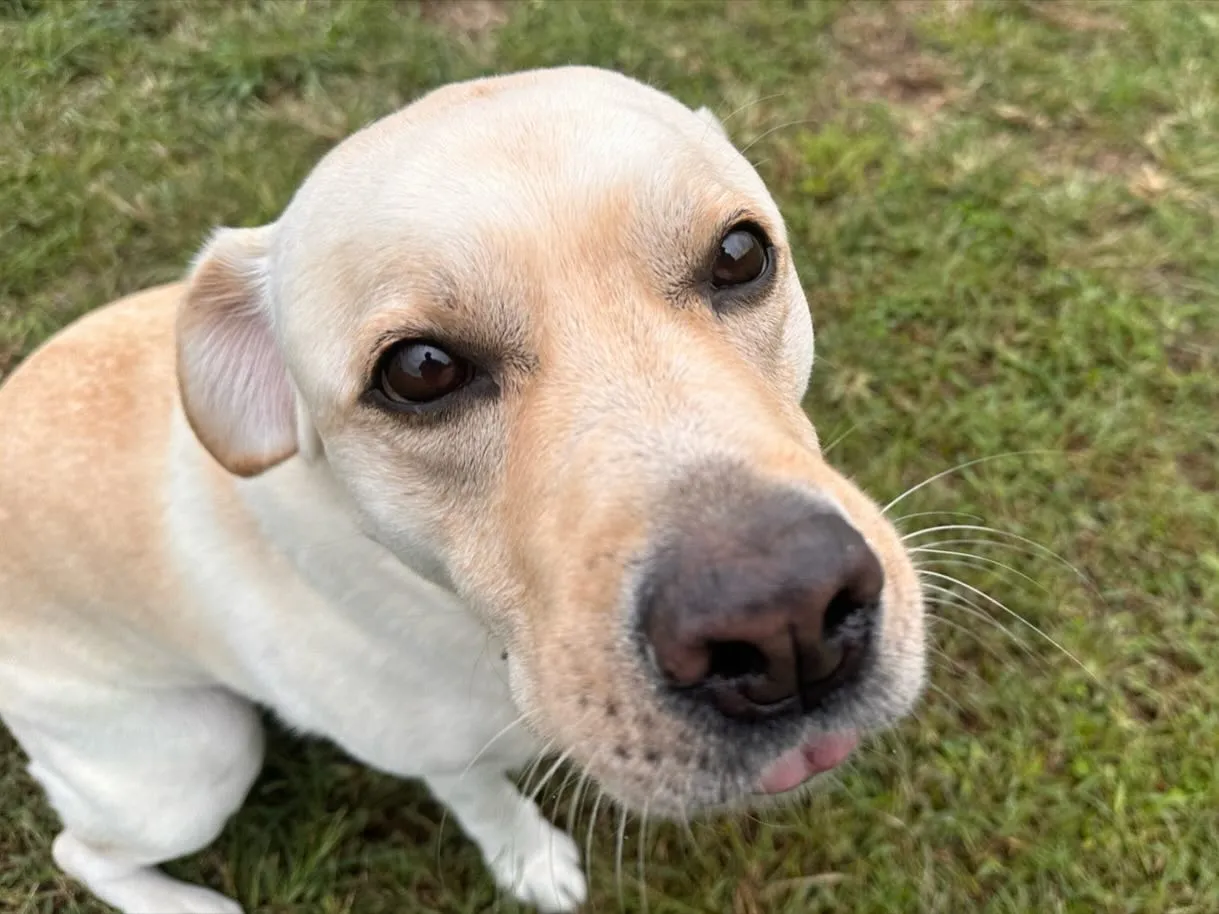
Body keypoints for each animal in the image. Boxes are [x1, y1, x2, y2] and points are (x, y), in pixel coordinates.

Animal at [0, 67, 921, 911]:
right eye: (419, 369)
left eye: (739, 254)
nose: (784, 622)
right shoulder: (435, 750)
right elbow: (481, 800)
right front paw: (528, 859)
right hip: (195, 763)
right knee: (78, 850)